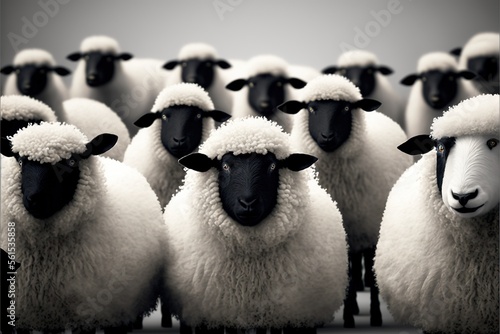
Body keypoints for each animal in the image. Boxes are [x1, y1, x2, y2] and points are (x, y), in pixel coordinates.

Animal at [278, 73, 414, 328]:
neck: (337, 183)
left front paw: (375, 315)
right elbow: (347, 273)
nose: (327, 137)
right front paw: (349, 314)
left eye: (345, 108)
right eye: (312, 108)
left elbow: (368, 269)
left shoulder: (367, 227)